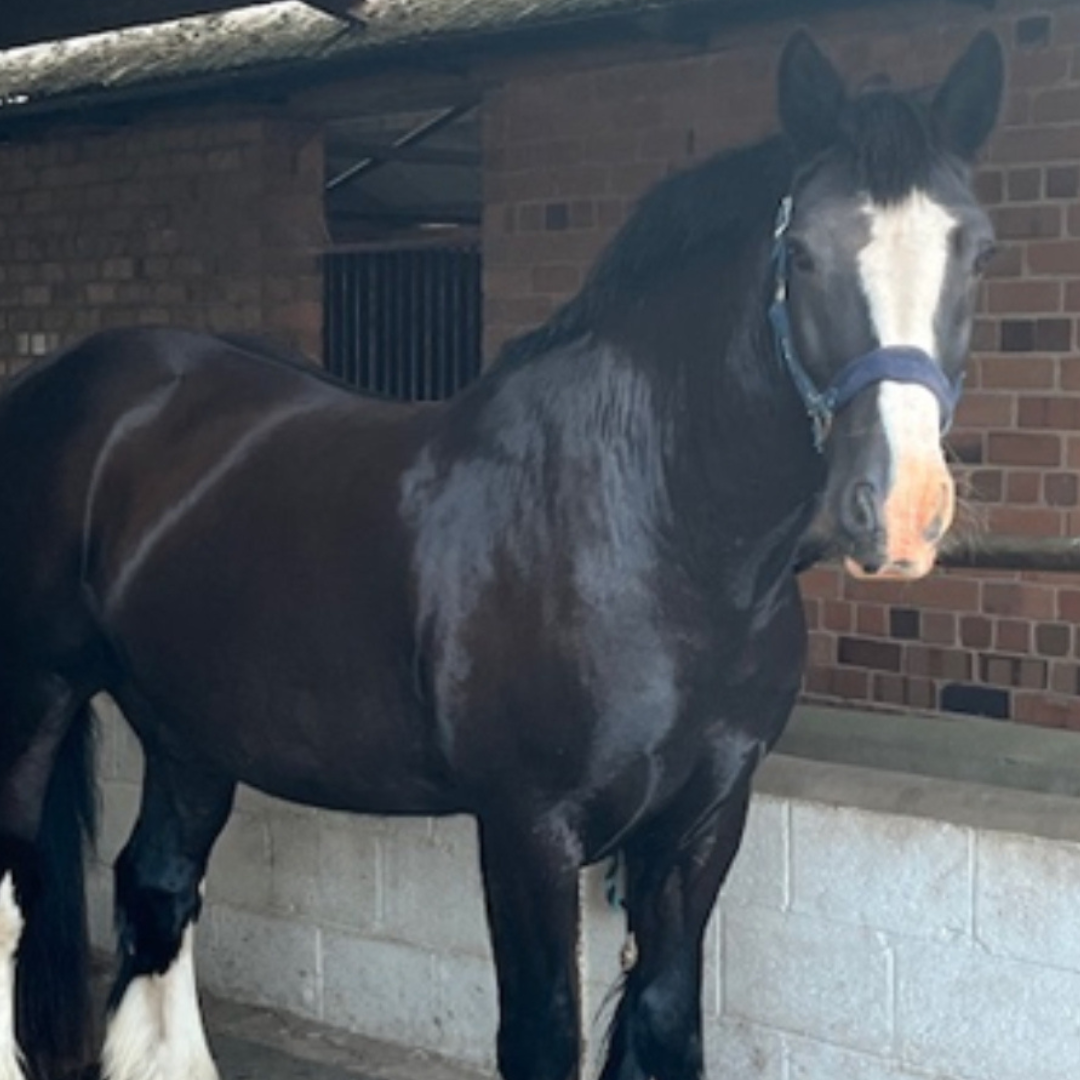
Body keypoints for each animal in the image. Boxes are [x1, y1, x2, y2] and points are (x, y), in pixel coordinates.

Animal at [0, 29, 1001, 1080]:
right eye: (801, 255)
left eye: (978, 252)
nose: (901, 509)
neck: (653, 530)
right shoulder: (529, 827)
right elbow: (542, 1035)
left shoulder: (706, 817)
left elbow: (665, 1022)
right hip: (34, 693)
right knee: (14, 897)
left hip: (189, 724)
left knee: (158, 884)